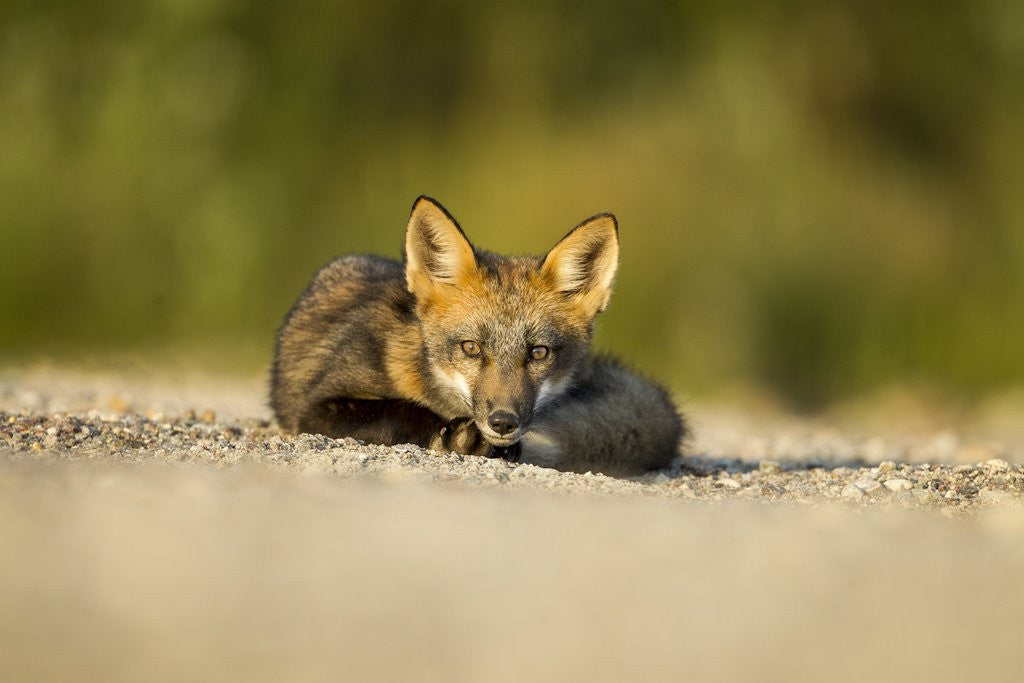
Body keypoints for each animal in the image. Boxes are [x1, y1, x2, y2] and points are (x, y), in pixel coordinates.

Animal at [270, 196, 686, 476]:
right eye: (471, 348)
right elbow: (398, 410)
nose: (503, 423)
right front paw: (453, 435)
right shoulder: (317, 405)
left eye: (539, 353)